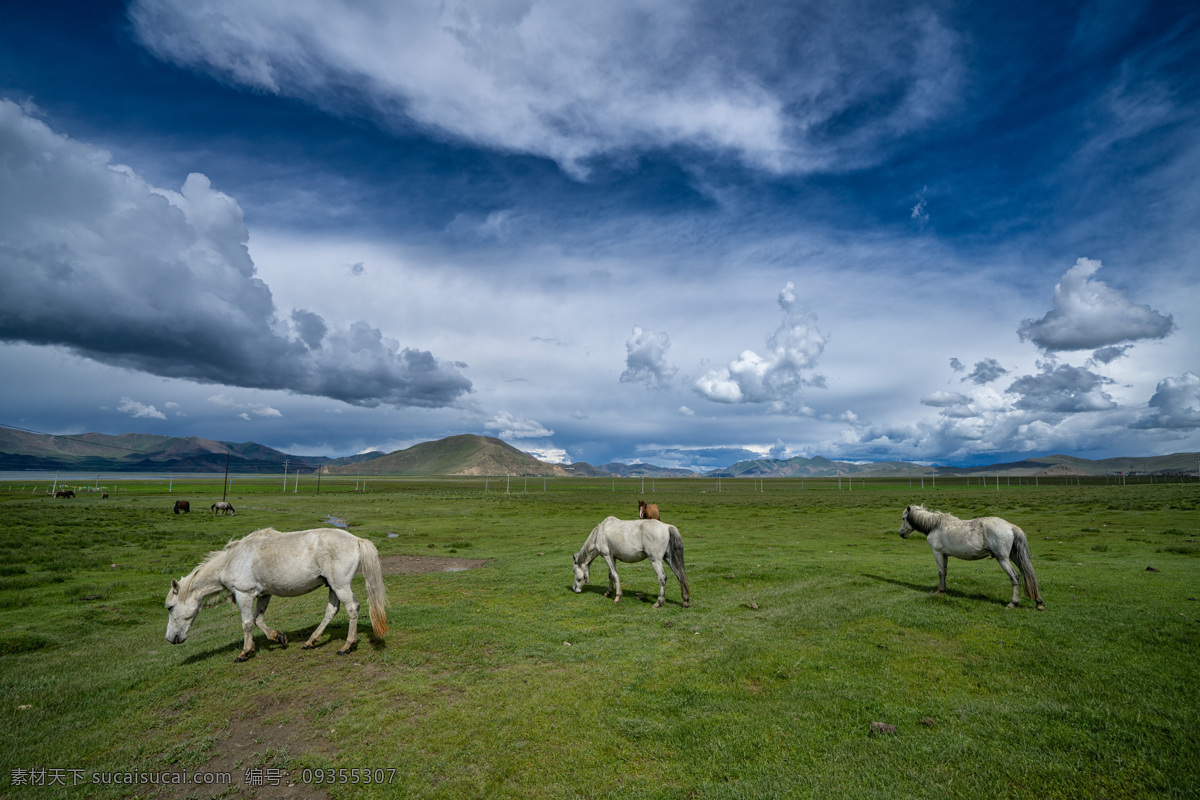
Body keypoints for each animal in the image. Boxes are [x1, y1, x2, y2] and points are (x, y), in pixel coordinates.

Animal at [164, 525, 386, 662]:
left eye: (170, 607)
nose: (170, 638)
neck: (232, 560)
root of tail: (356, 540)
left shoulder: (244, 594)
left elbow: (247, 623)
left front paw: (245, 652)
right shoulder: (264, 594)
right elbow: (258, 619)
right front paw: (278, 637)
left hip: (340, 585)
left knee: (352, 608)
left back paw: (347, 646)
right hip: (332, 586)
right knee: (331, 611)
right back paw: (310, 641)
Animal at [897, 503, 1046, 609]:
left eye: (904, 518)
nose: (901, 534)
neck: (935, 525)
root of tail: (1010, 527)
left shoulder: (937, 552)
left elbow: (940, 572)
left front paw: (939, 591)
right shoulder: (944, 554)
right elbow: (944, 572)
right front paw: (943, 590)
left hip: (1003, 559)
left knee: (1014, 576)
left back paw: (1013, 603)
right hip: (1015, 556)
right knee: (1028, 574)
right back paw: (1038, 603)